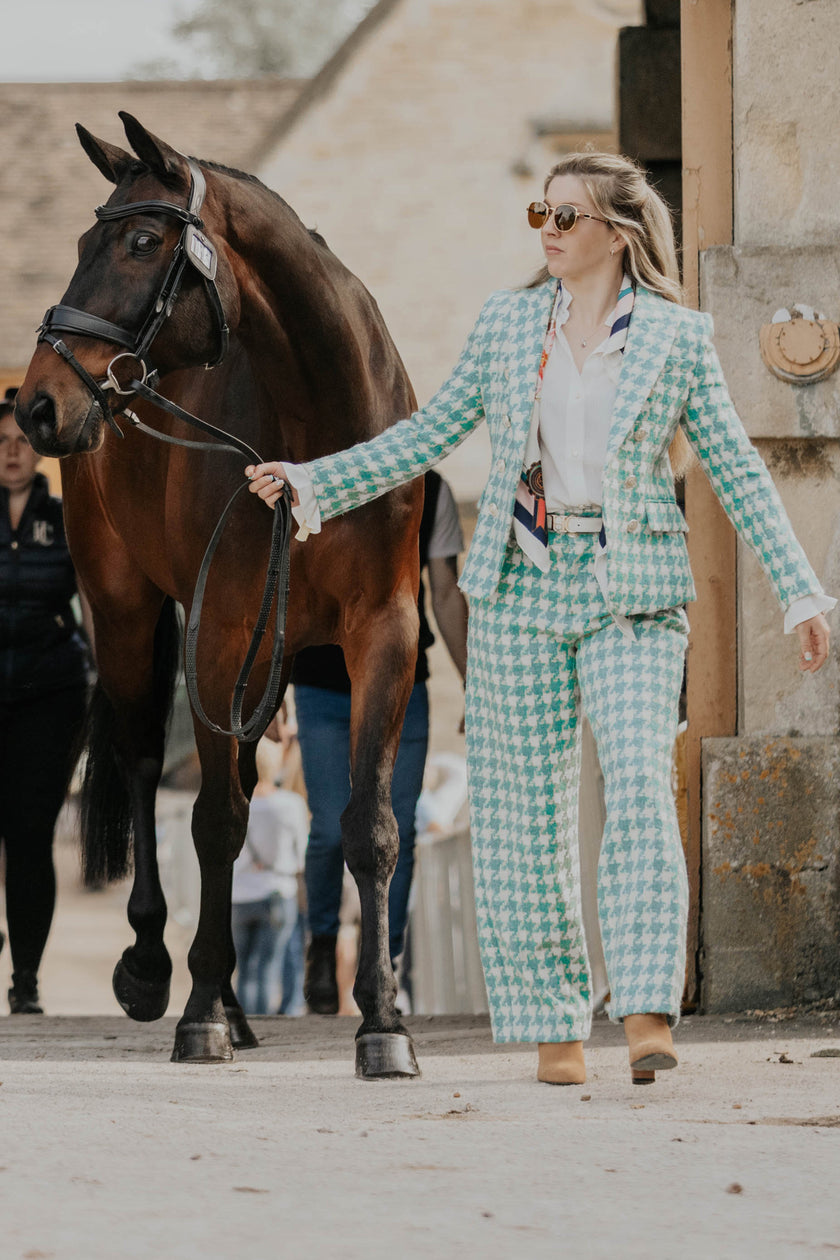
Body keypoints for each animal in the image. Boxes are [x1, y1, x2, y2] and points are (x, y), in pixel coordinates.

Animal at [18, 113, 428, 1073]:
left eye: (140, 241)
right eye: (82, 242)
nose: (37, 403)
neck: (320, 430)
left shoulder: (382, 633)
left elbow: (370, 823)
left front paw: (383, 1023)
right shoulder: (219, 633)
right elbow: (213, 821)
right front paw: (197, 1009)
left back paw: (241, 1006)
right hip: (127, 613)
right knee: (141, 761)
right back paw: (158, 971)